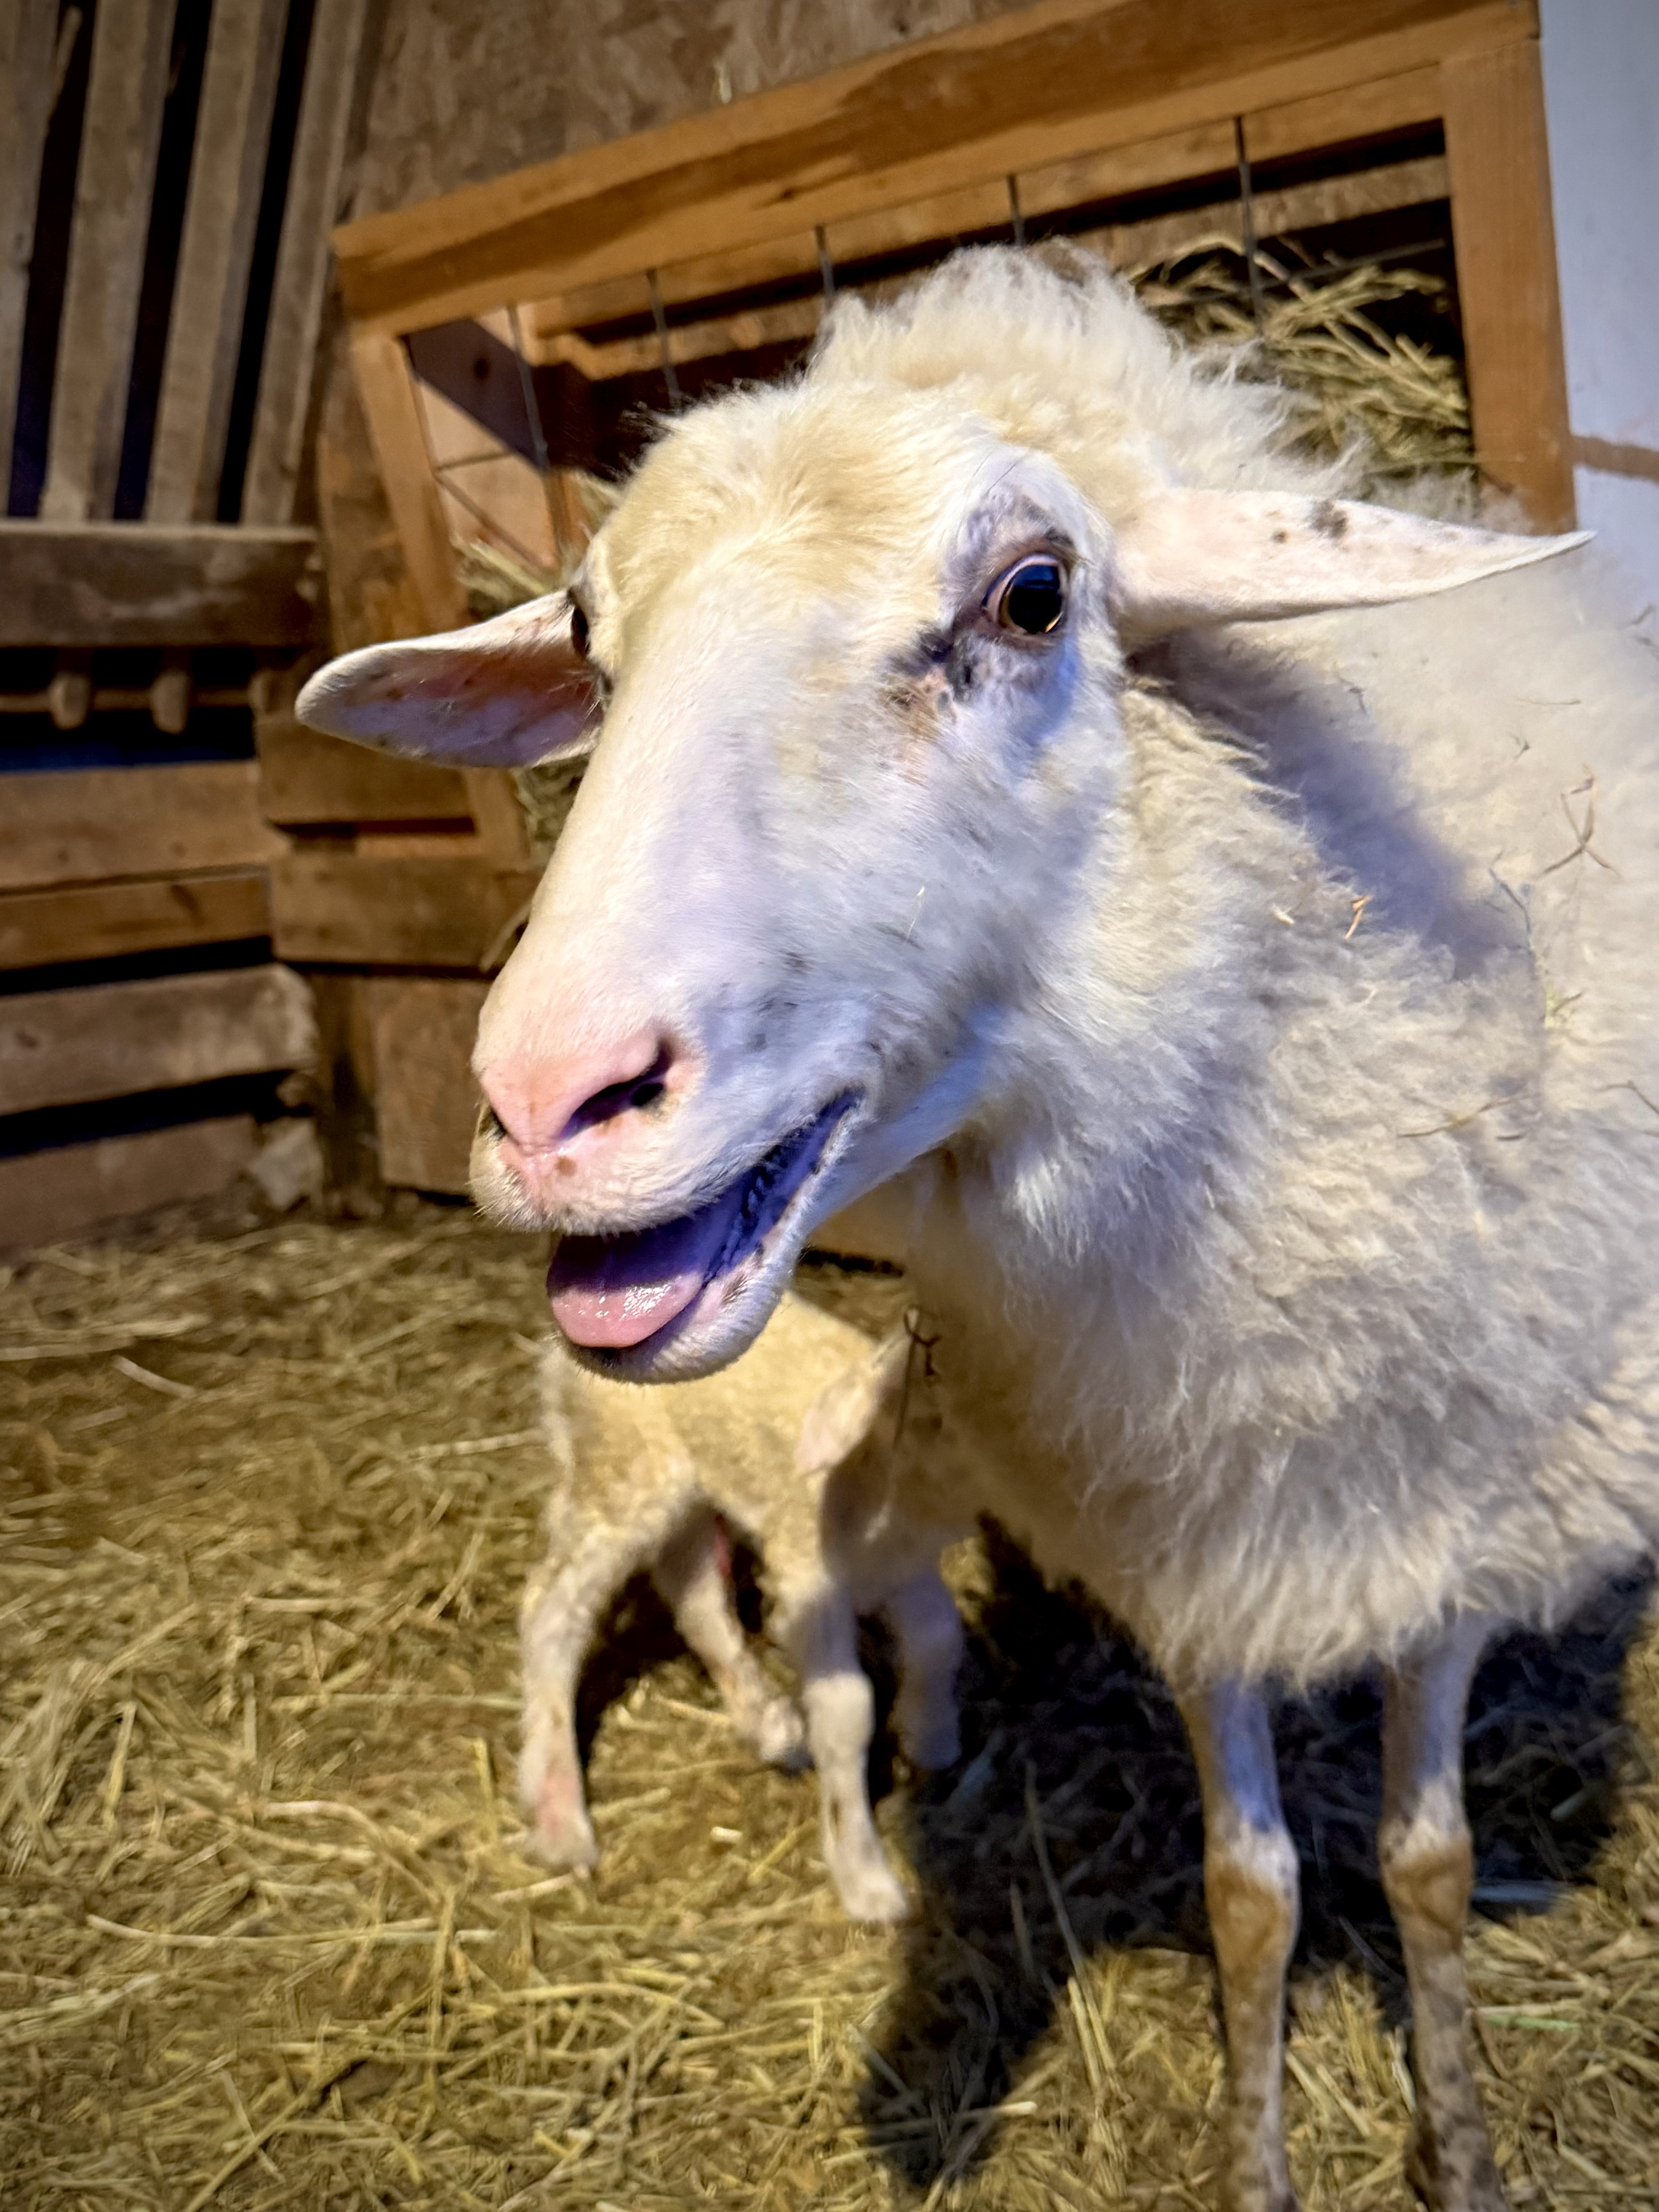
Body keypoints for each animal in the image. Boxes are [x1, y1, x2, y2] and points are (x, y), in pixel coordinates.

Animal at [520, 1288, 971, 1925]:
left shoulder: (904, 1567)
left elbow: (940, 1639)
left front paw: (931, 1734)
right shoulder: (809, 1572)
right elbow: (846, 1709)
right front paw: (863, 1876)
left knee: (693, 1589)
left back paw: (768, 1724)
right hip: (623, 1470)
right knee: (552, 1610)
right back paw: (561, 1815)